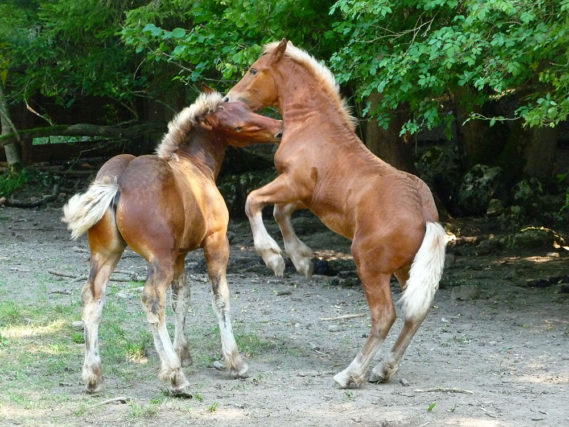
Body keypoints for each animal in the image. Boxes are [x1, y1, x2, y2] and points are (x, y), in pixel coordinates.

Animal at [62, 91, 282, 398]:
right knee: (152, 299)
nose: (279, 129)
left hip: (107, 253)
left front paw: (183, 352)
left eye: (248, 109)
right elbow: (220, 297)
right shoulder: (215, 241)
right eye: (237, 125)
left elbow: (183, 296)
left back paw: (93, 376)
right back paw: (175, 378)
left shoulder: (180, 254)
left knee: (92, 297)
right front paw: (233, 362)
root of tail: (117, 181)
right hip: (159, 259)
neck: (196, 166)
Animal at [224, 41, 446, 392]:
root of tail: (426, 213)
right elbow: (279, 211)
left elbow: (251, 202)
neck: (312, 125)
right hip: (405, 270)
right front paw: (302, 260)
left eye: (254, 70)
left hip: (369, 266)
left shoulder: (293, 183)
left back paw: (351, 374)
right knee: (414, 315)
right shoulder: (304, 196)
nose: (227, 99)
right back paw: (384, 370)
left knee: (385, 316)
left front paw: (273, 258)